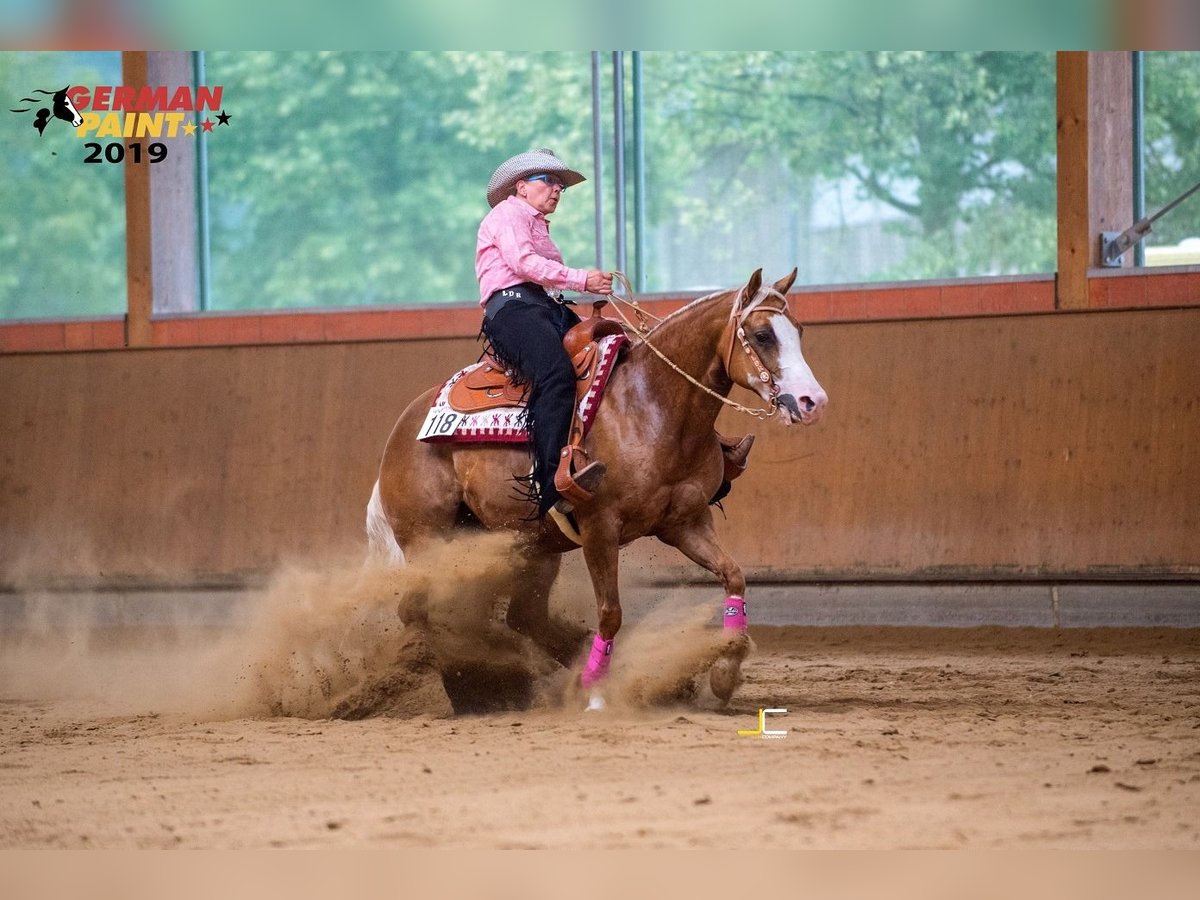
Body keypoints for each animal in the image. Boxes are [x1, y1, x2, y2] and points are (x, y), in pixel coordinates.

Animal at [369, 267, 830, 710]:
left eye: (799, 331)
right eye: (763, 334)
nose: (813, 401)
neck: (652, 405)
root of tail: (401, 430)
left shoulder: (685, 523)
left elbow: (734, 577)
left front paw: (724, 675)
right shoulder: (599, 528)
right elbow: (610, 612)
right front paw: (594, 691)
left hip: (524, 546)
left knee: (522, 617)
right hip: (429, 538)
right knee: (420, 610)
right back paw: (472, 690)